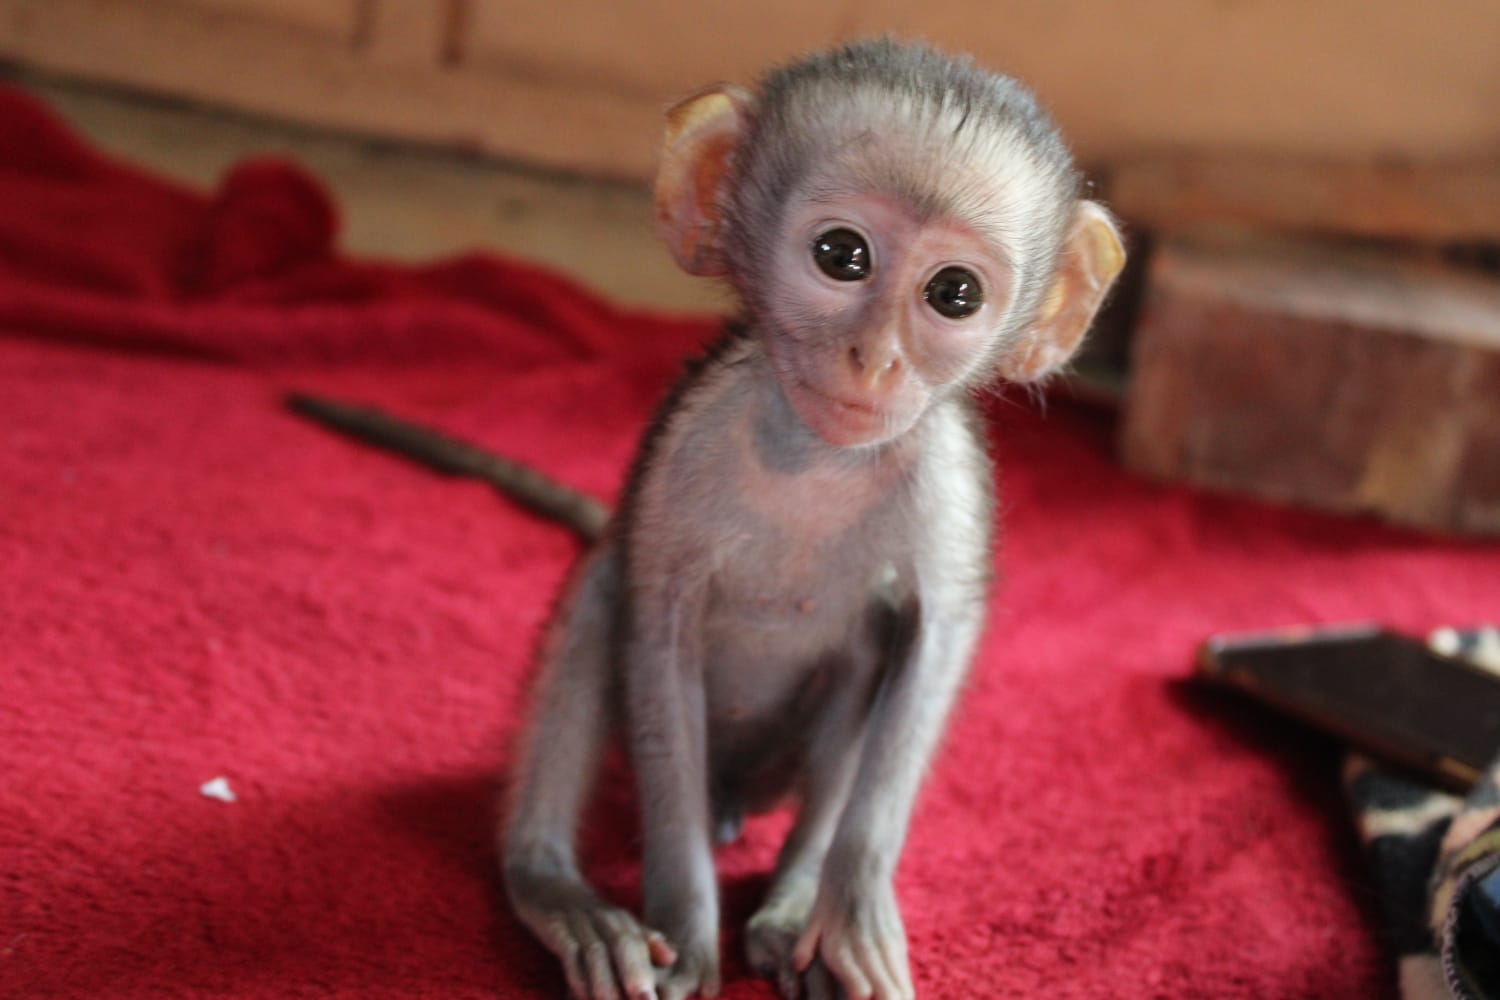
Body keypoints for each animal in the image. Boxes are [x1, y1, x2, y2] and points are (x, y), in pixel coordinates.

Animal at [504, 41, 1128, 1000]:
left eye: (954, 293)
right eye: (842, 254)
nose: (875, 360)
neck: (819, 464)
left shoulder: (948, 479)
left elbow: (936, 641)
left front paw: (855, 899)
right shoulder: (685, 456)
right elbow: (655, 637)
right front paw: (689, 932)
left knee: (871, 646)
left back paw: (793, 905)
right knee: (604, 588)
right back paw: (554, 891)